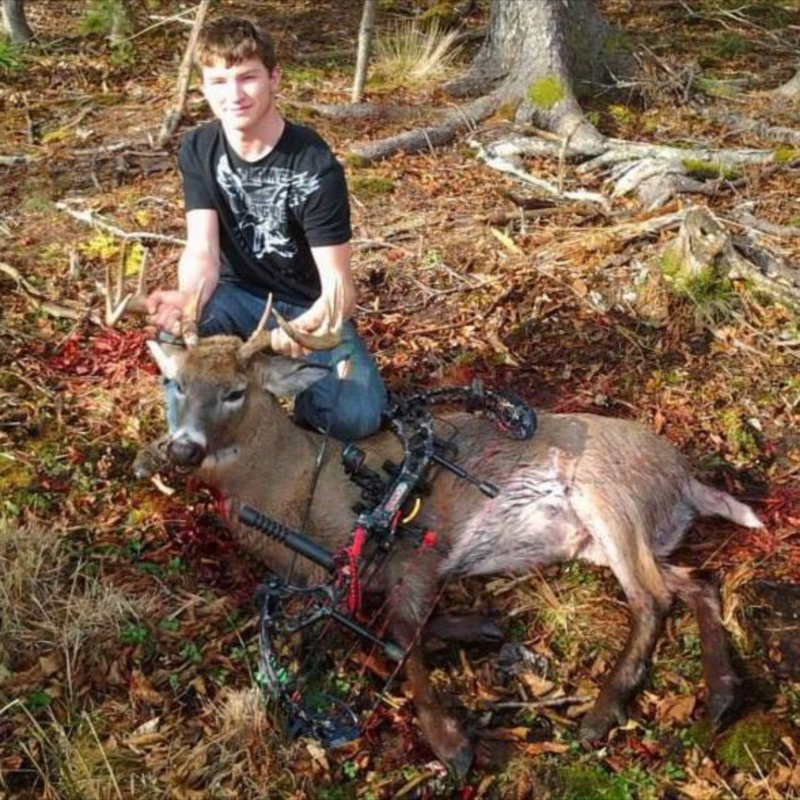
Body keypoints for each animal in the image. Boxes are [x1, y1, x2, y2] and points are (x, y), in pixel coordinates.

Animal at [107, 265, 763, 778]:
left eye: (236, 391)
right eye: (174, 382)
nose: (182, 449)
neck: (295, 487)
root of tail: (685, 477)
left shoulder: (417, 550)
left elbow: (400, 637)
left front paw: (453, 745)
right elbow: (382, 624)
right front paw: (482, 627)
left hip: (610, 501)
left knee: (652, 598)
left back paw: (601, 714)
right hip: (602, 540)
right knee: (694, 583)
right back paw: (723, 694)